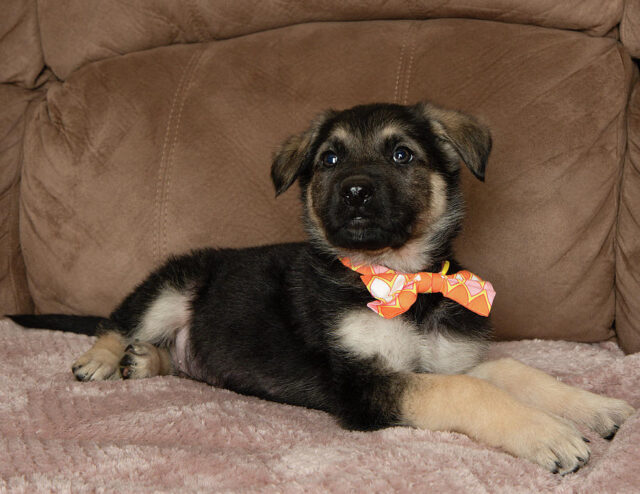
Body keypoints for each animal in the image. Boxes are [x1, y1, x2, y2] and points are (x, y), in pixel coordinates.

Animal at [7, 101, 632, 474]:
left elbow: (517, 373)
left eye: (402, 154)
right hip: (175, 283)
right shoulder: (363, 385)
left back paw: (146, 362)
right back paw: (104, 358)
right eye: (329, 159)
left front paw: (596, 408)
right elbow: (470, 393)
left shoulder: (452, 358)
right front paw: (548, 434)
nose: (355, 190)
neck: (402, 277)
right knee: (118, 319)